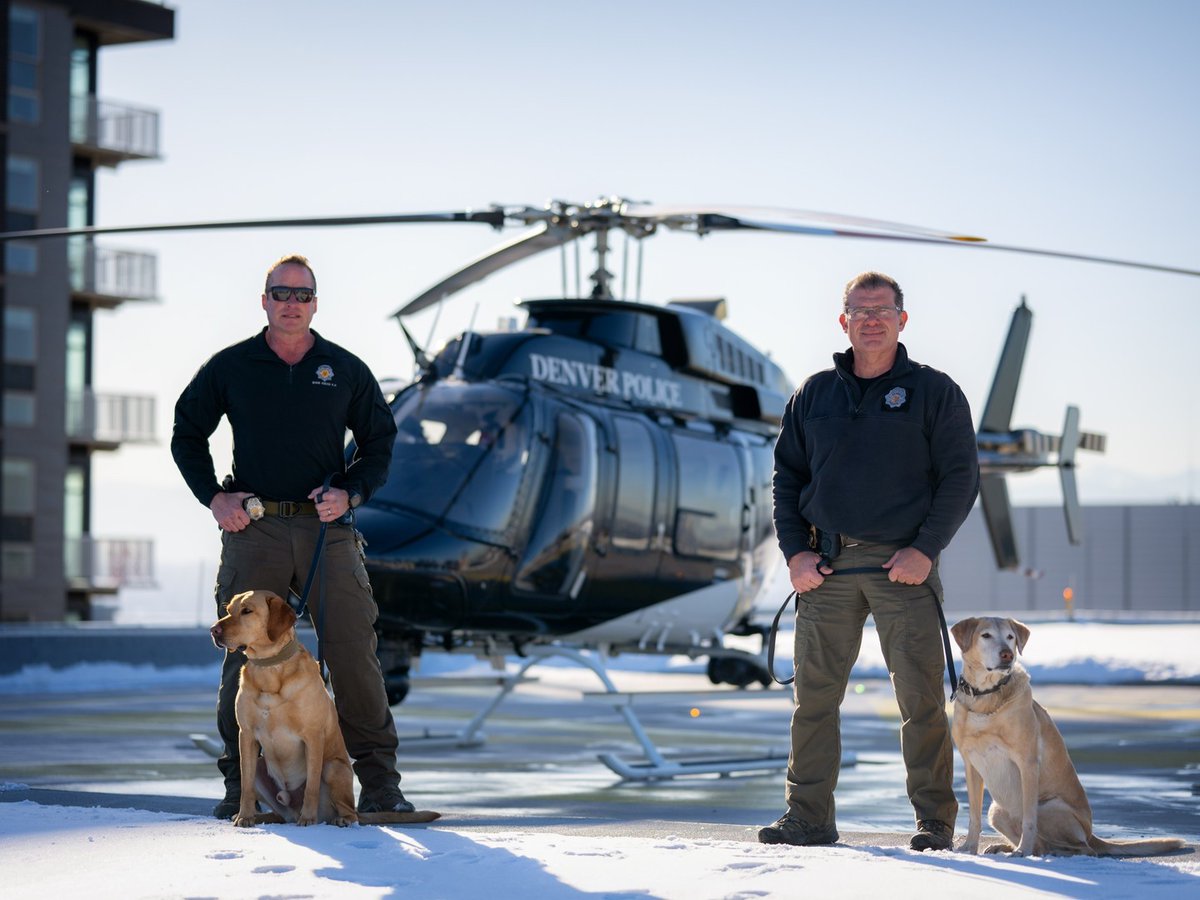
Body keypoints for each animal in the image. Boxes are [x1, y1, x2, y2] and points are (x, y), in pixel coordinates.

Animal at [210, 592, 355, 830]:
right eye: (229, 610)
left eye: (247, 611)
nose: (213, 630)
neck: (269, 667)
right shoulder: (246, 735)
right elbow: (246, 785)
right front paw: (244, 816)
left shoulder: (313, 736)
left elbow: (311, 786)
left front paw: (308, 819)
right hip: (261, 766)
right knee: (275, 809)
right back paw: (262, 817)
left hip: (334, 767)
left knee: (351, 811)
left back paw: (338, 819)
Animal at [950, 619, 1185, 859]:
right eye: (986, 635)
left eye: (1010, 637)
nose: (1007, 654)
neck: (985, 699)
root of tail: (1091, 834)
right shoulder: (971, 765)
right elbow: (974, 817)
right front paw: (969, 848)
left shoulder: (1027, 763)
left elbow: (1029, 819)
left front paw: (1022, 851)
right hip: (997, 810)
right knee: (1042, 845)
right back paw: (1007, 847)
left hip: (1049, 807)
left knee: (1084, 849)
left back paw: (1049, 852)